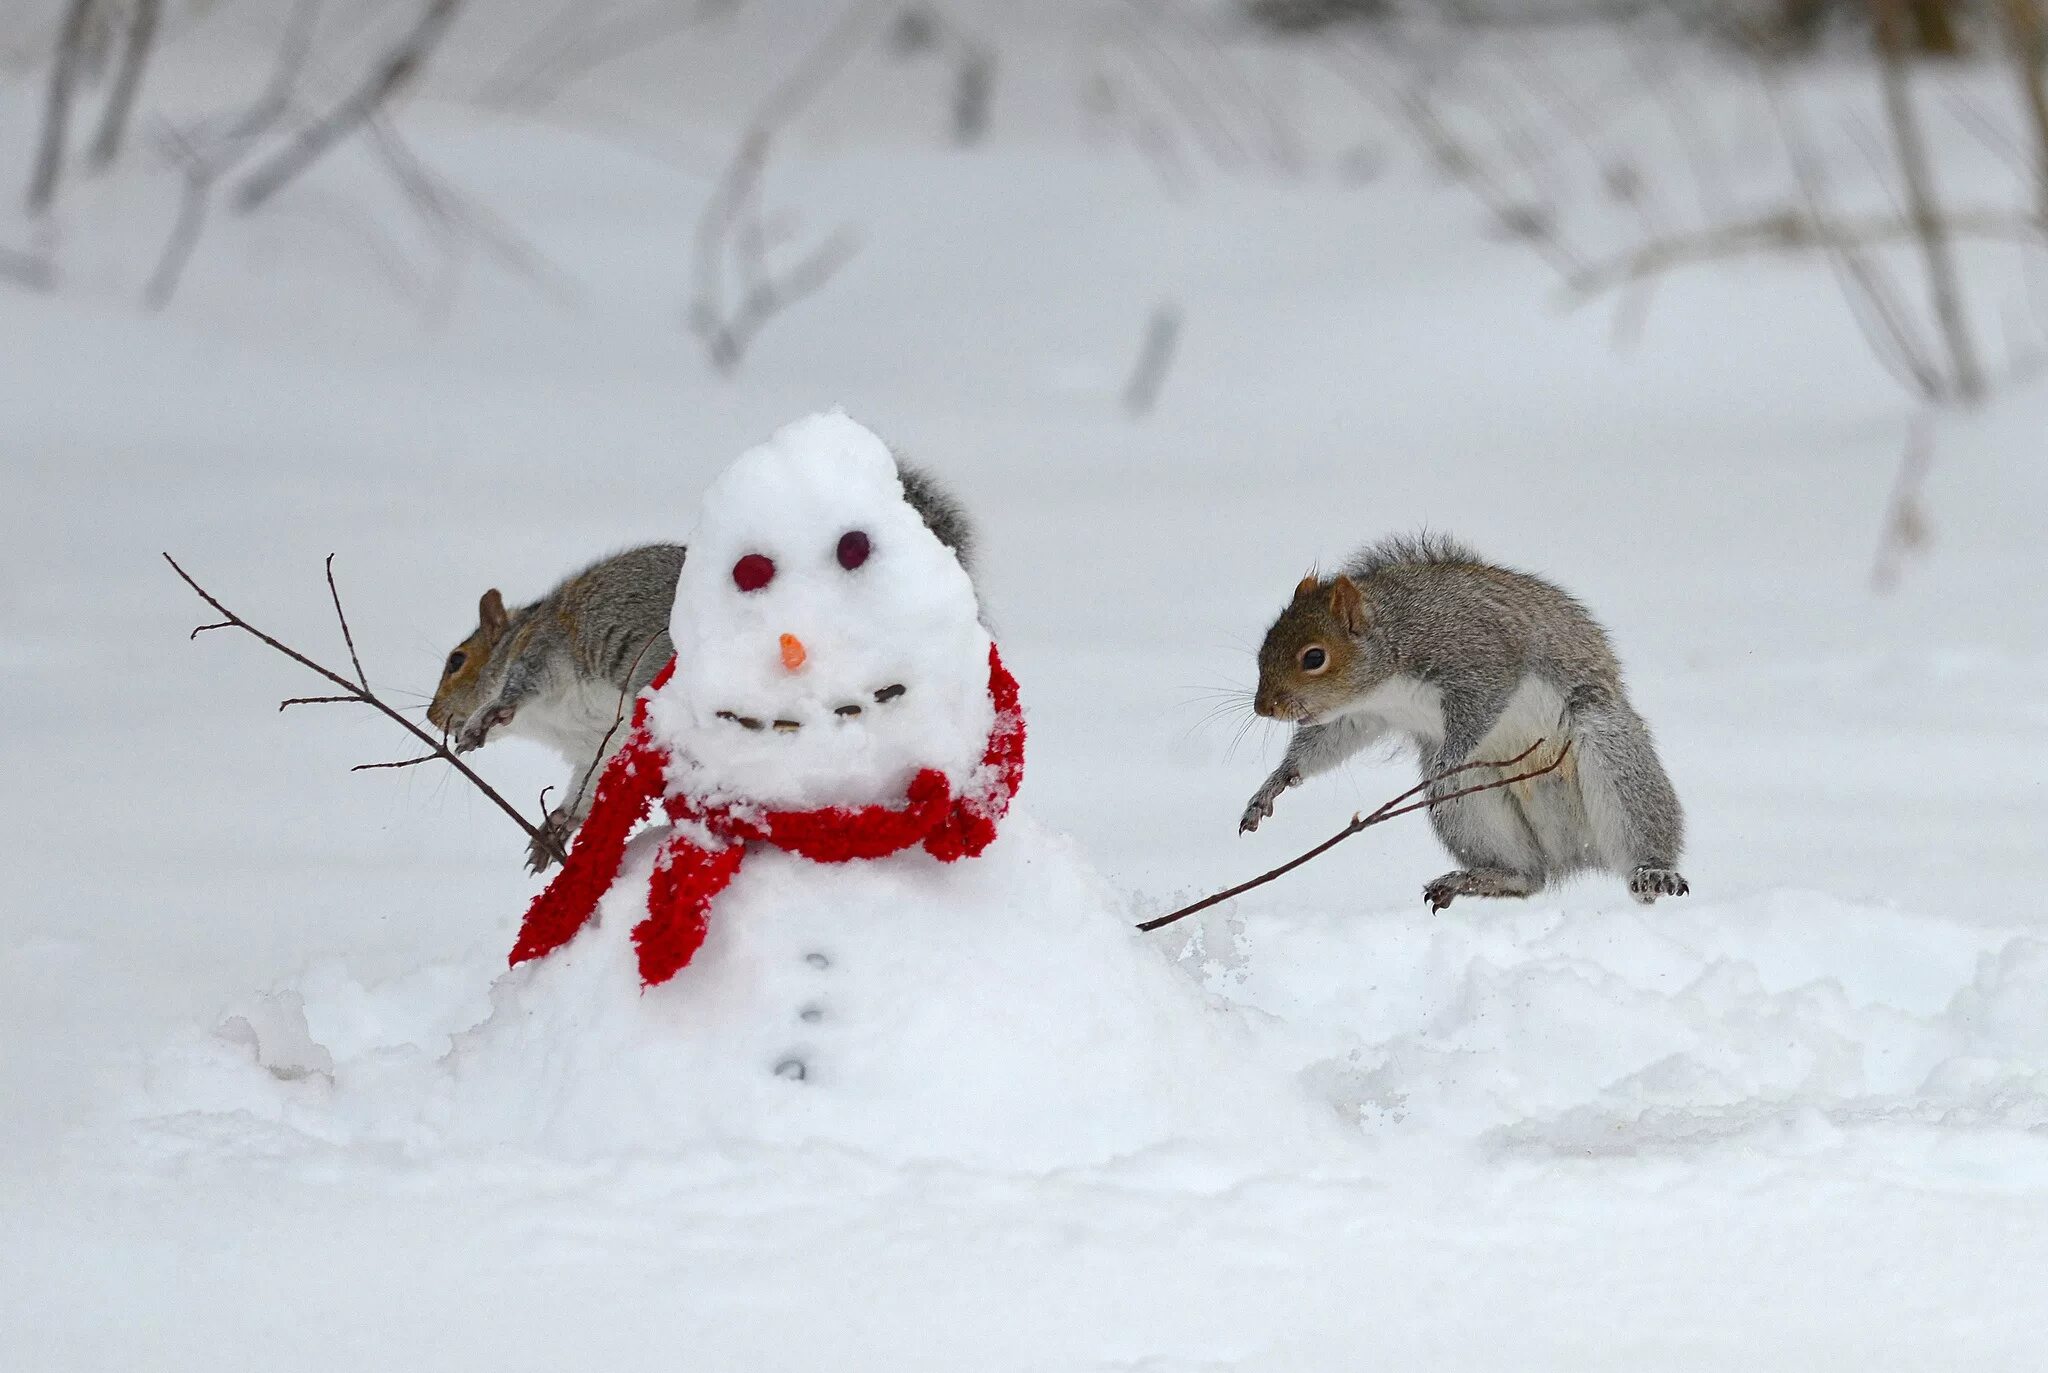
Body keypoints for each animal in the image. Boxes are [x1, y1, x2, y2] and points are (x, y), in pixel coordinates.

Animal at [425, 463, 974, 872]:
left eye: (457, 661)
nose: (432, 716)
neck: (550, 722)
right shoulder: (598, 744)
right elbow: (586, 787)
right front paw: (554, 827)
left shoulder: (545, 649)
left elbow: (517, 686)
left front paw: (482, 722)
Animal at [1228, 536, 1695, 913]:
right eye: (1265, 644)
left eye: (1314, 657)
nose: (1264, 707)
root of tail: (1573, 854)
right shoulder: (1361, 715)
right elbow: (1326, 743)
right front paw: (1273, 784)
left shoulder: (1478, 661)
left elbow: (1481, 708)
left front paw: (1448, 761)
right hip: (1471, 812)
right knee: (1528, 878)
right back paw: (1480, 878)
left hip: (1611, 752)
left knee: (1638, 836)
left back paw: (1652, 873)